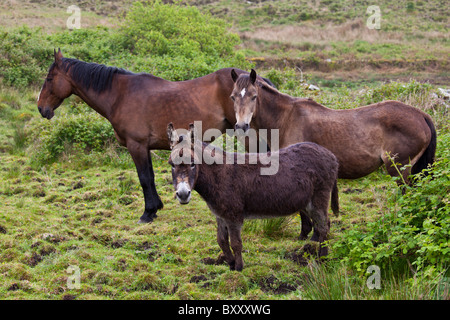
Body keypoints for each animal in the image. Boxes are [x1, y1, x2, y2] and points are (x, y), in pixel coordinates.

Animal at [36, 50, 274, 224]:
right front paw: (156, 207)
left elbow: (144, 178)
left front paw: (148, 213)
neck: (120, 95)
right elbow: (148, 177)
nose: (41, 108)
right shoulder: (145, 147)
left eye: (49, 78)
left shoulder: (137, 146)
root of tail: (258, 80)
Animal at [168, 122, 338, 270]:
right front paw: (230, 264)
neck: (218, 174)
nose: (183, 194)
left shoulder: (234, 216)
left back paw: (322, 259)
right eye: (171, 164)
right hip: (308, 202)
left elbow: (236, 243)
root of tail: (331, 155)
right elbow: (222, 241)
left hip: (319, 198)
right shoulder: (220, 215)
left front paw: (239, 268)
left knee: (323, 227)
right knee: (324, 224)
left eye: (192, 163)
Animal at [230, 70, 438, 185]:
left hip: (400, 168)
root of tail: (421, 115)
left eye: (254, 96)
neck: (286, 118)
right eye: (233, 97)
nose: (241, 125)